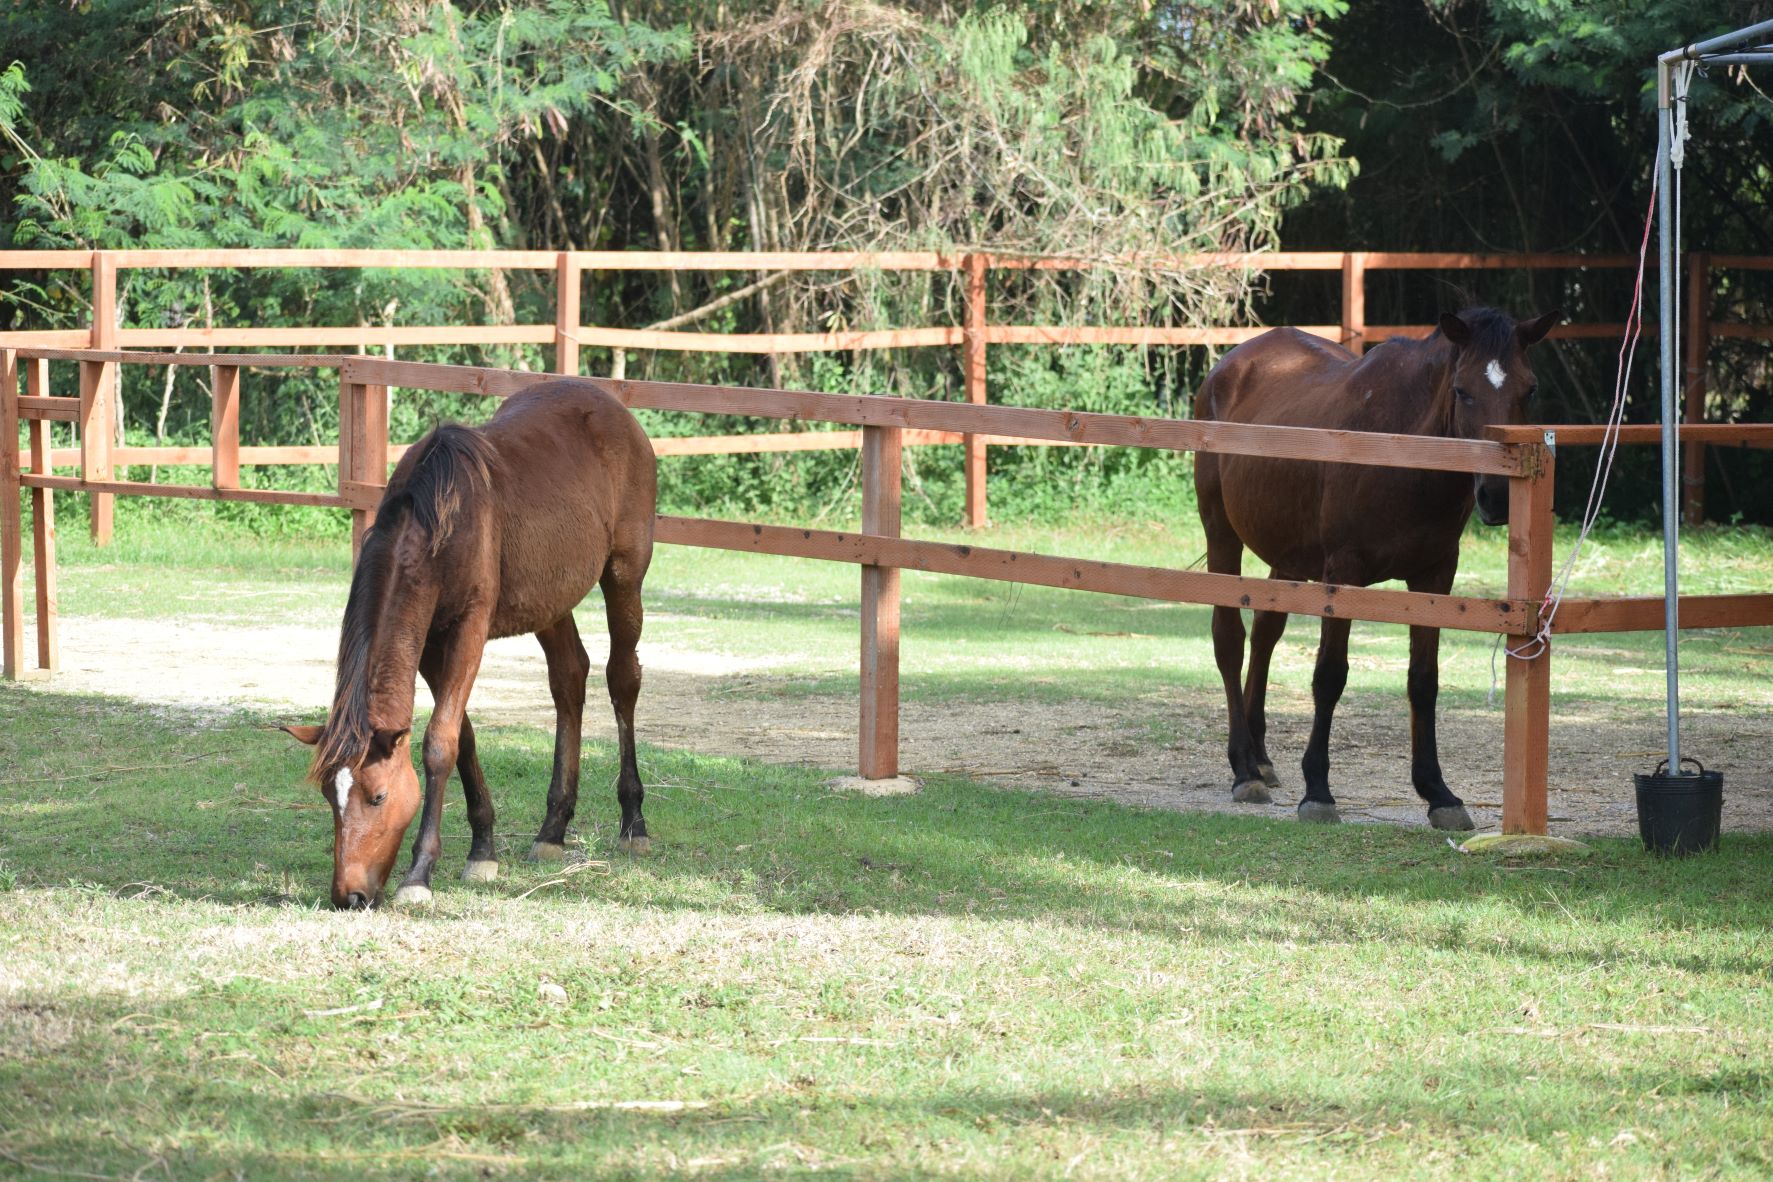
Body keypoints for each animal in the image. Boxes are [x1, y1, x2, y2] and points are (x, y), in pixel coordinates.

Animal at [281, 380, 657, 909]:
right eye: (327, 797)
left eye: (378, 796)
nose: (348, 895)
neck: (435, 521)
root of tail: (612, 407)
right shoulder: (429, 646)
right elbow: (463, 736)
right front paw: (483, 849)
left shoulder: (468, 629)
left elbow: (440, 742)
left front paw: (419, 874)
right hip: (549, 600)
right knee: (569, 678)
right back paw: (552, 828)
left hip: (624, 576)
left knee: (622, 679)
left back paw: (633, 821)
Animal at [1192, 306, 1559, 829]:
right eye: (1462, 390)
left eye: (1529, 388)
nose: (1497, 496)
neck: (1403, 450)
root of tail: (1230, 365)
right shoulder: (1343, 573)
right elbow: (1330, 676)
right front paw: (1318, 790)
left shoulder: (1434, 577)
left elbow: (1423, 681)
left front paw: (1439, 793)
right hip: (1222, 535)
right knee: (1230, 640)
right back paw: (1244, 769)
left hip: (1288, 557)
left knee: (1265, 633)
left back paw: (1260, 758)